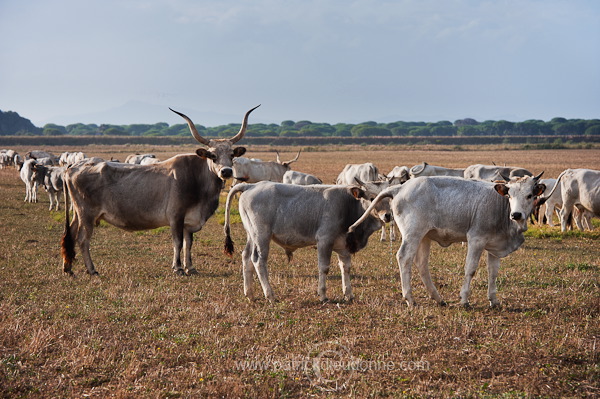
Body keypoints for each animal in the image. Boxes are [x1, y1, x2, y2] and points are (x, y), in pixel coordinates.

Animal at [61, 104, 260, 276]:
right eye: (212, 155)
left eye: (232, 154)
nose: (226, 171)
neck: (197, 180)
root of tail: (74, 166)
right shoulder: (176, 217)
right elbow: (178, 242)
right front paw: (178, 268)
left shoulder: (189, 221)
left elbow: (188, 243)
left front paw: (190, 267)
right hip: (87, 214)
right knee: (83, 239)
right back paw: (91, 270)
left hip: (78, 213)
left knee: (71, 234)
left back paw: (68, 268)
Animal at [223, 182, 382, 304]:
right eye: (372, 198)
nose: (386, 215)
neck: (348, 204)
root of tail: (251, 185)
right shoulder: (324, 241)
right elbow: (324, 268)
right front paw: (323, 295)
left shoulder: (343, 246)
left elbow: (346, 268)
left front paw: (349, 294)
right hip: (261, 236)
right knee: (258, 260)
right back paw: (270, 295)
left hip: (251, 236)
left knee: (246, 257)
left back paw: (249, 294)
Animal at [344, 173, 548, 308]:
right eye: (510, 195)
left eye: (530, 195)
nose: (516, 214)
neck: (500, 206)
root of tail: (401, 187)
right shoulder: (476, 239)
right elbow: (470, 269)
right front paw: (464, 299)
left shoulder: (495, 245)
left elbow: (493, 272)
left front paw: (494, 300)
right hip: (413, 234)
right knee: (404, 258)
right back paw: (409, 298)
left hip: (424, 237)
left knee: (421, 264)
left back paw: (436, 297)